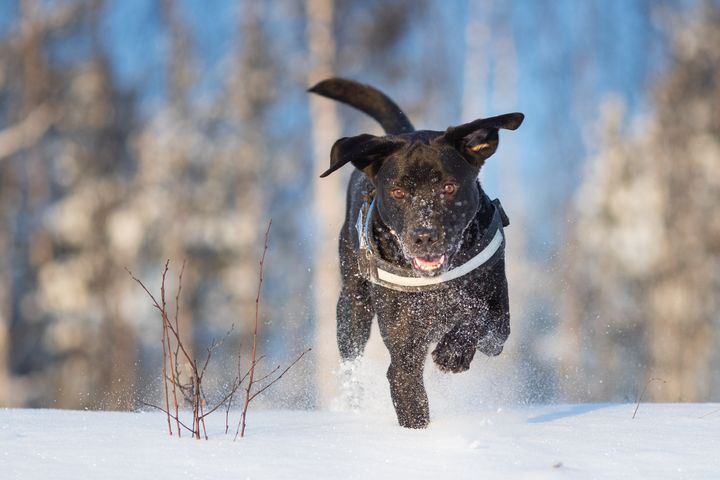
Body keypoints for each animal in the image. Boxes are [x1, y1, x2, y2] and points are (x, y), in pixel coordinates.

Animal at [310, 79, 524, 428]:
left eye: (448, 187)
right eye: (397, 192)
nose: (424, 236)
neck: (436, 284)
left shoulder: (499, 326)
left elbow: (476, 312)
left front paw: (453, 352)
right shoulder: (403, 357)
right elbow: (412, 403)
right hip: (352, 308)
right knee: (351, 358)